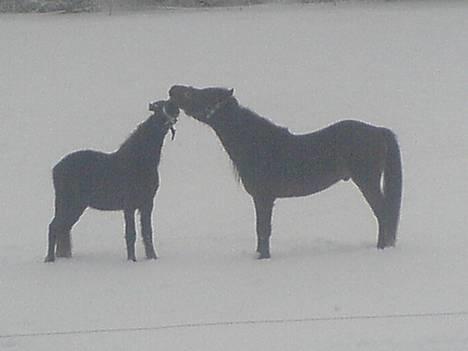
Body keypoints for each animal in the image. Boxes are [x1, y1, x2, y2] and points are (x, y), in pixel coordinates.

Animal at [44, 100, 179, 262]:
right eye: (159, 108)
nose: (175, 110)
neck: (139, 161)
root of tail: (56, 169)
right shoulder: (129, 205)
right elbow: (131, 234)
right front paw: (132, 260)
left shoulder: (147, 204)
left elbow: (147, 233)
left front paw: (152, 258)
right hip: (69, 204)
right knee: (54, 227)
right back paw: (50, 259)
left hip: (76, 206)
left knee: (63, 229)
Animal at [169, 86, 402, 260]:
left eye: (200, 94)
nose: (173, 89)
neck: (257, 145)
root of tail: (379, 131)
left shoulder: (264, 198)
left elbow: (263, 229)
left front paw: (263, 257)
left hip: (367, 181)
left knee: (383, 214)